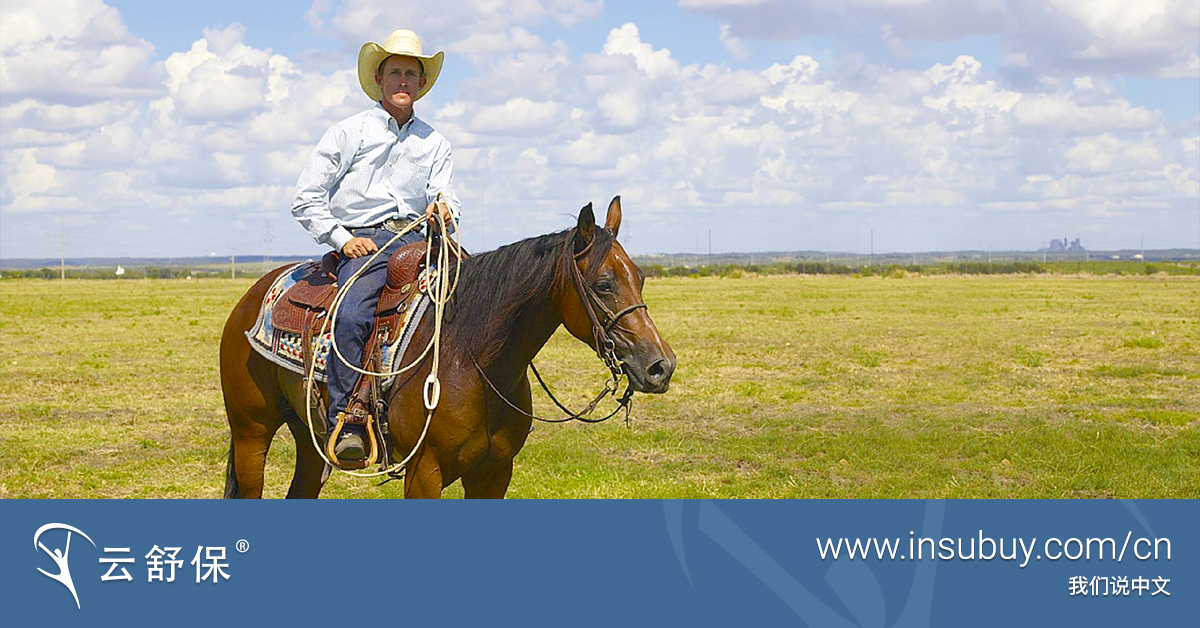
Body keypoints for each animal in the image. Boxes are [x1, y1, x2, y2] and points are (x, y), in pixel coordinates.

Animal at [222, 199, 681, 499]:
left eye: (640, 277)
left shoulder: (494, 473)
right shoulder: (424, 472)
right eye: (603, 285)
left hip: (310, 438)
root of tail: (256, 292)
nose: (660, 366)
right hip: (251, 432)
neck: (473, 359)